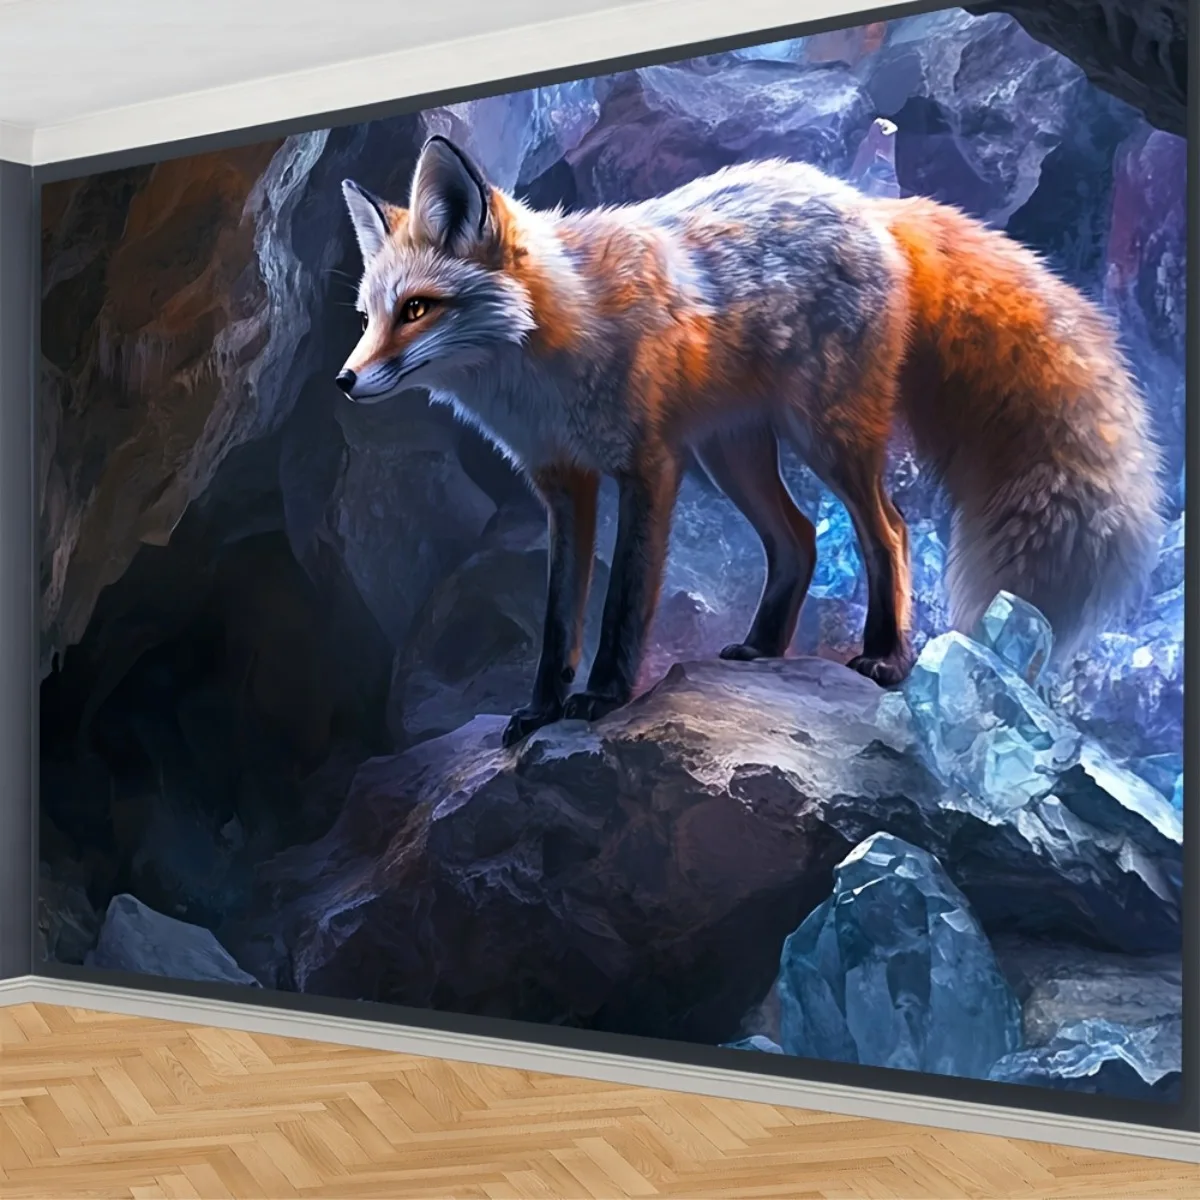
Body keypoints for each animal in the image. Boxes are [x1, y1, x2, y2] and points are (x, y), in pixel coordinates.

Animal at [336, 134, 1165, 749]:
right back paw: (765, 649)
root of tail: (866, 202)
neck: (554, 348)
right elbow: (556, 619)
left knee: (889, 530)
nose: (343, 382)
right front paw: (541, 709)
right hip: (735, 454)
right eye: (370, 315)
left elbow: (623, 601)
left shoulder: (650, 465)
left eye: (418, 309)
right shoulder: (563, 483)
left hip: (824, 436)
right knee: (799, 536)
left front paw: (604, 695)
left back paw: (887, 656)